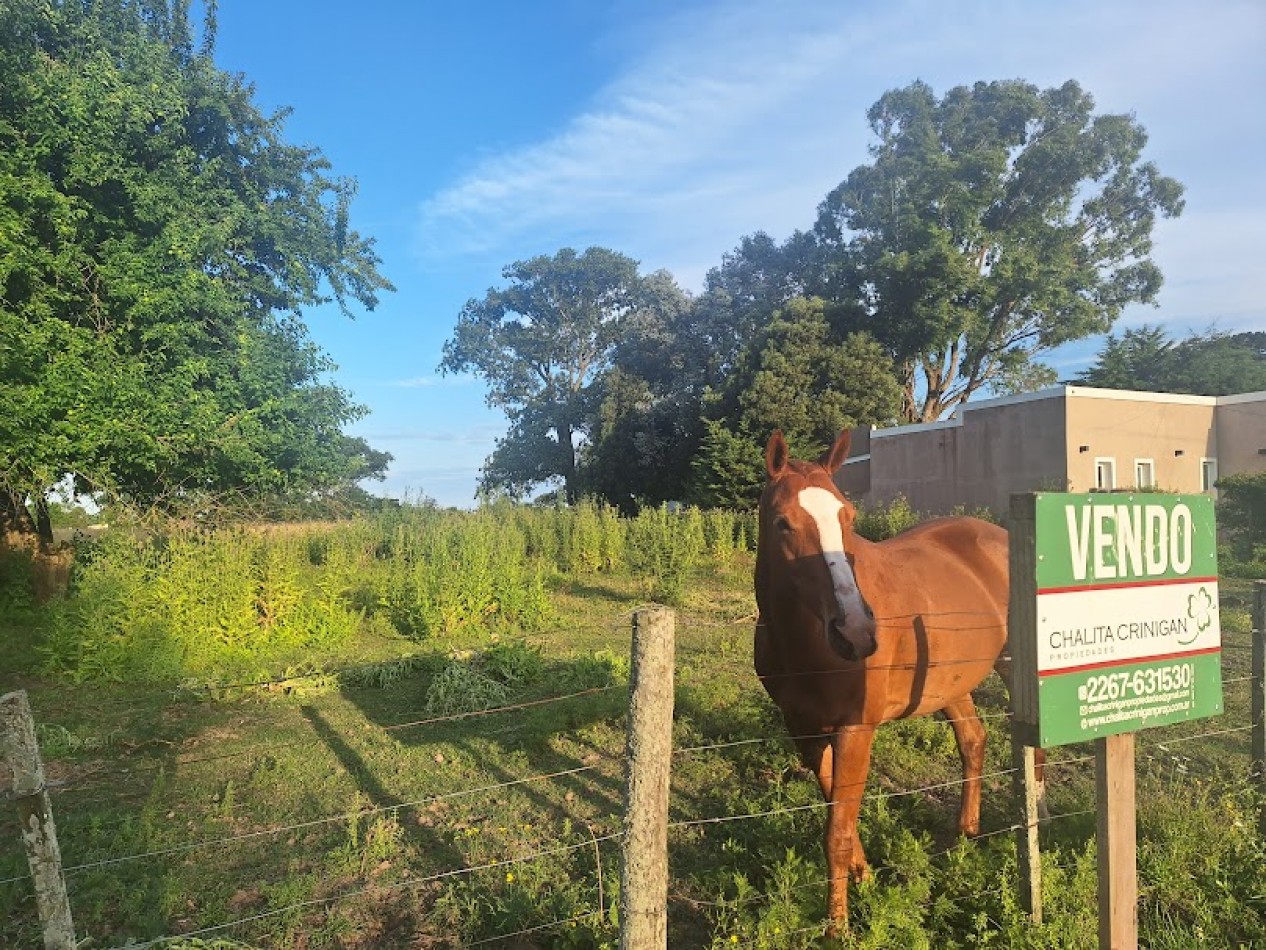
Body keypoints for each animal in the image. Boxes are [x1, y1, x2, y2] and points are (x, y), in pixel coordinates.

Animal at [754, 430, 1022, 932]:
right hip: (948, 685)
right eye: (783, 523)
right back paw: (965, 833)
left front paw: (837, 929)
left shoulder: (856, 729)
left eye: (848, 515)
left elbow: (836, 833)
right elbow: (837, 813)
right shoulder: (803, 730)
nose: (856, 631)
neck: (804, 645)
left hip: (1017, 666)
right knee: (973, 740)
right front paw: (865, 876)